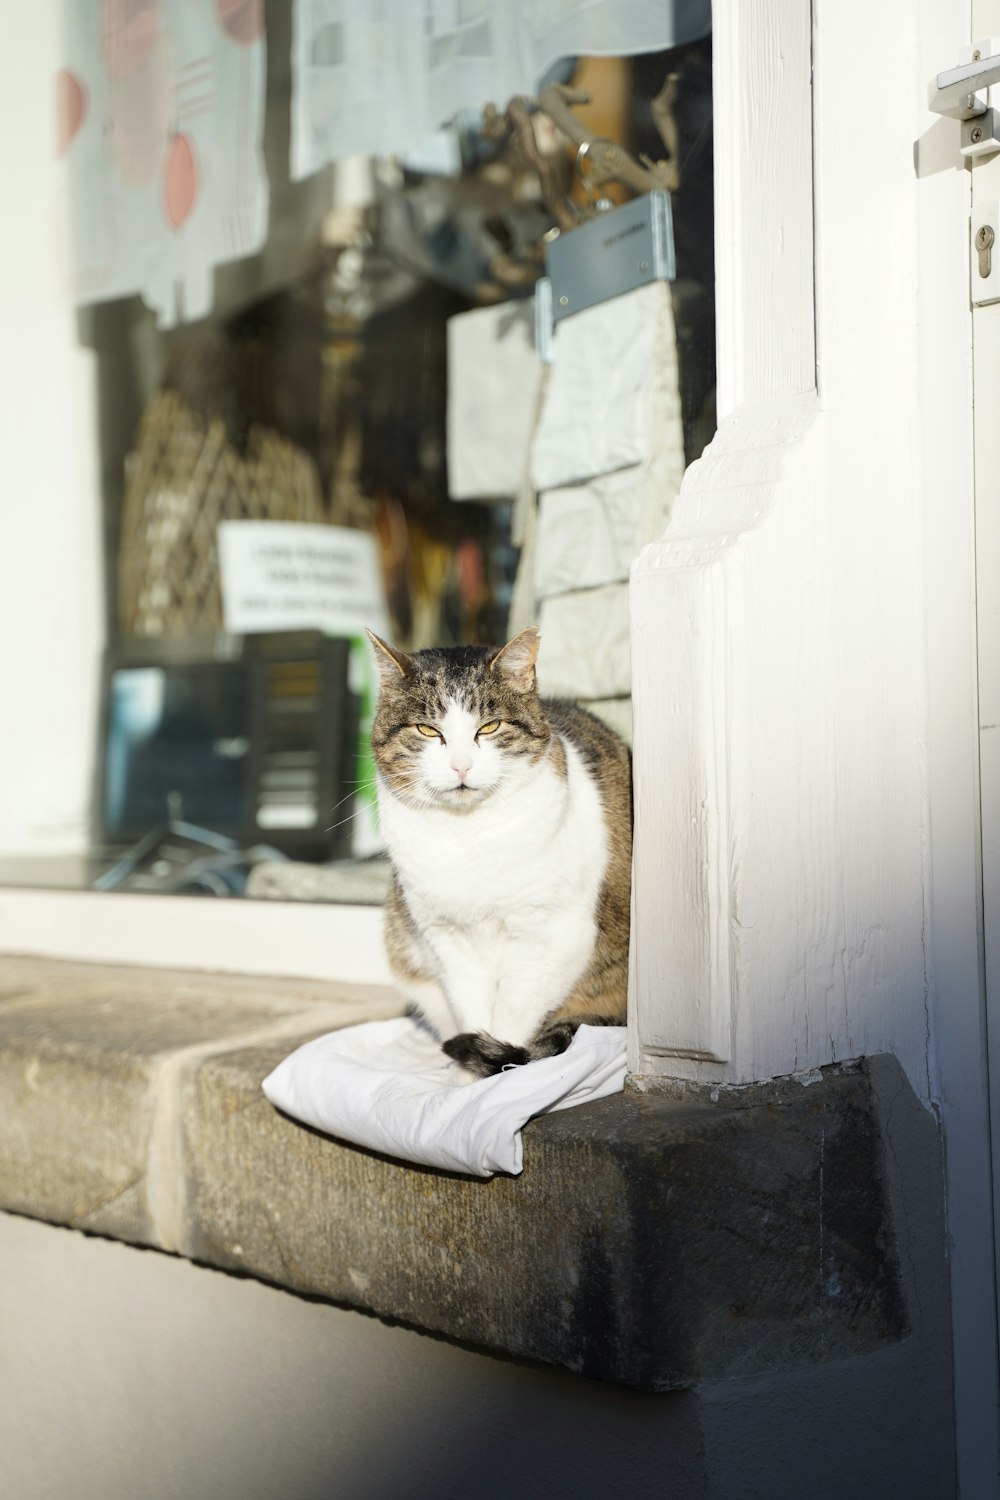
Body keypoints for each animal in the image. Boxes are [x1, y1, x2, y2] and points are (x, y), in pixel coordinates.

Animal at [367, 624, 632, 1080]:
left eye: (489, 727)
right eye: (427, 731)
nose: (460, 766)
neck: (468, 836)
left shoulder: (551, 936)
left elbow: (513, 1017)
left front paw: (499, 1080)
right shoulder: (445, 940)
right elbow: (470, 1010)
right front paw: (465, 1081)